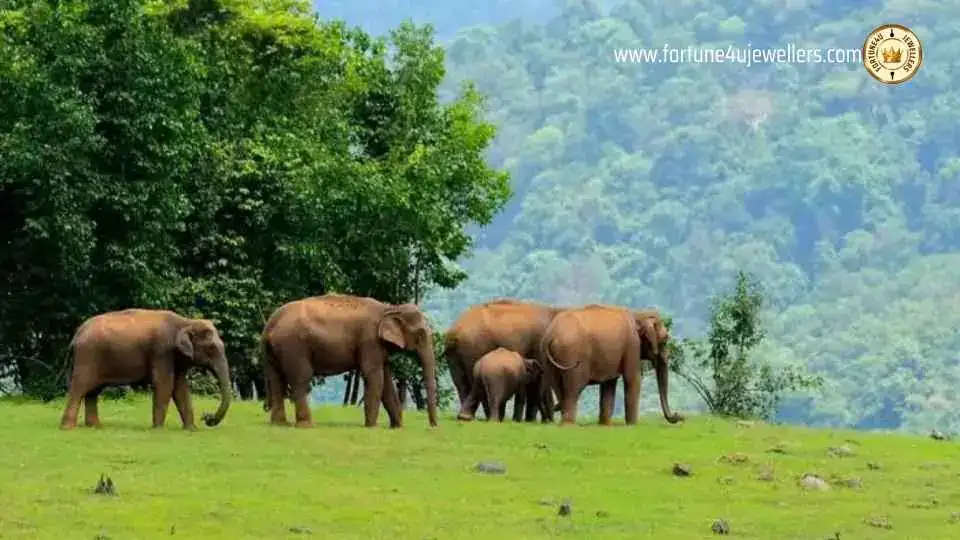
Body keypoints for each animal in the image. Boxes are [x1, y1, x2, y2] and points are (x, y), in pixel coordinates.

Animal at [59, 309, 232, 430]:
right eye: (211, 348)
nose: (207, 417)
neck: (185, 322)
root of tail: (77, 334)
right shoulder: (162, 351)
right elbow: (165, 385)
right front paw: (158, 429)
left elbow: (180, 388)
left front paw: (191, 429)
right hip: (87, 356)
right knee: (80, 387)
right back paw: (67, 428)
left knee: (93, 391)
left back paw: (96, 427)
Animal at [261, 294, 438, 428]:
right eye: (421, 334)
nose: (433, 427)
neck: (390, 308)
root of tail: (269, 325)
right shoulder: (369, 341)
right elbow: (374, 376)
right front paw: (371, 427)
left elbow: (387, 381)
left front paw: (397, 427)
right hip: (293, 345)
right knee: (300, 378)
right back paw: (306, 425)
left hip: (273, 352)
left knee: (276, 380)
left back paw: (279, 424)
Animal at [539, 304, 683, 426]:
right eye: (665, 340)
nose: (680, 416)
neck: (638, 314)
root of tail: (551, 335)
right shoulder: (632, 344)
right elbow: (633, 378)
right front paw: (632, 425)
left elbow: (609, 383)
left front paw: (605, 425)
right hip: (571, 355)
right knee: (573, 389)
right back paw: (569, 425)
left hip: (549, 360)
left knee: (559, 387)